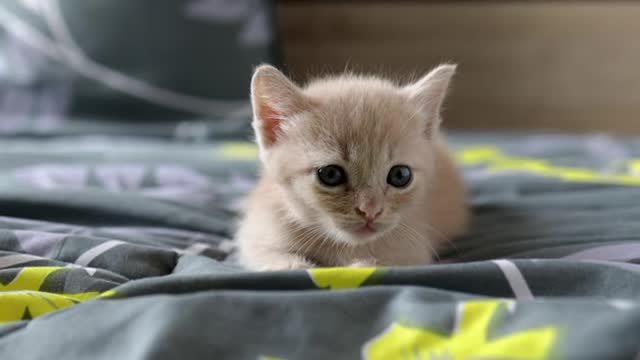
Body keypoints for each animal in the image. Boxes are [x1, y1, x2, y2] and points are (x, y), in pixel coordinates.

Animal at [238, 63, 468, 270]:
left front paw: (364, 264)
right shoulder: (256, 232)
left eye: (401, 175)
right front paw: (295, 264)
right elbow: (268, 255)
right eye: (331, 174)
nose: (370, 211)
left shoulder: (414, 250)